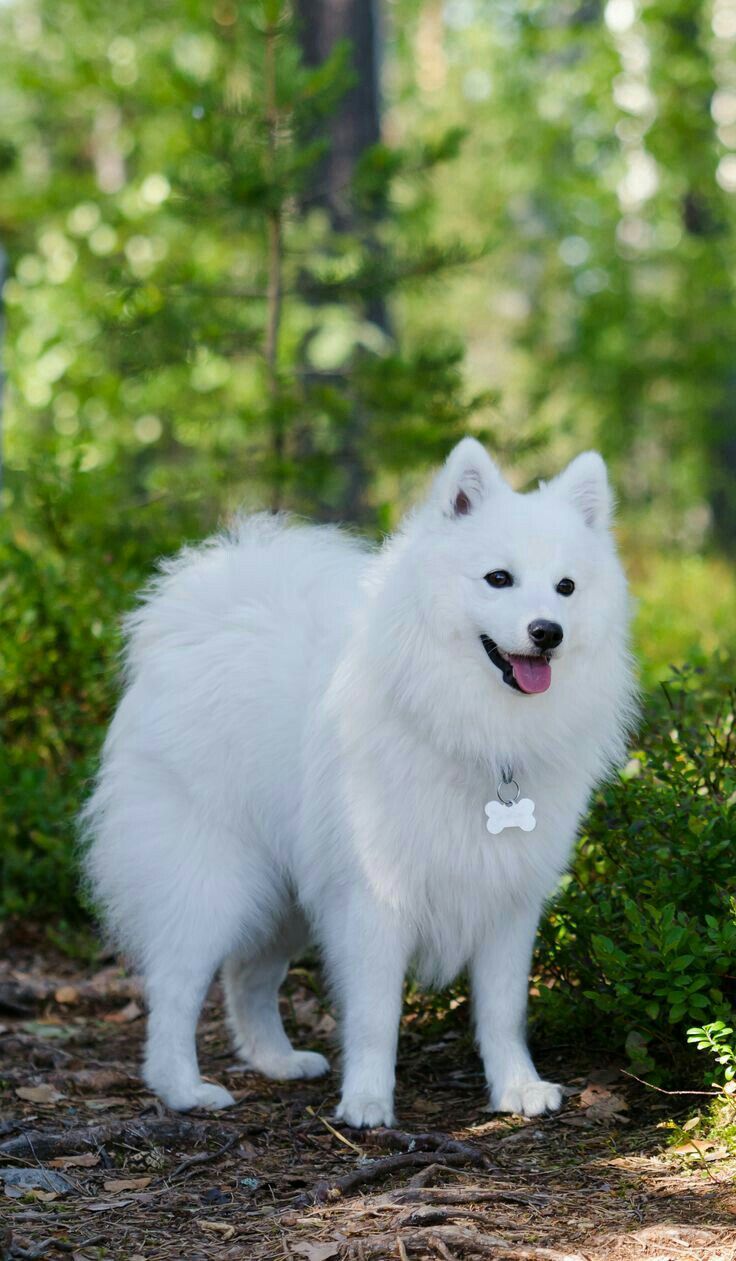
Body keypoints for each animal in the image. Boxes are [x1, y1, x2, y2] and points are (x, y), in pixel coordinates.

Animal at [79, 441, 632, 1124]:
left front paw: (517, 1087)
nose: (546, 632)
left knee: (246, 979)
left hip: (284, 895)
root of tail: (198, 621)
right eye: (498, 579)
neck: (474, 729)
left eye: (566, 587)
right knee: (175, 991)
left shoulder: (507, 897)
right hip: (213, 882)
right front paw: (367, 1100)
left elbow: (504, 1011)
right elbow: (375, 1015)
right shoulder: (376, 897)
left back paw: (277, 1061)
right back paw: (184, 1089)